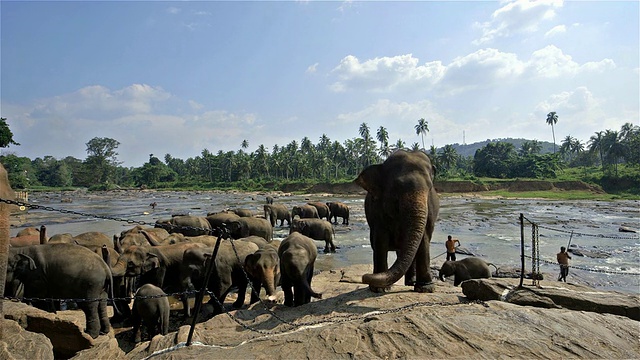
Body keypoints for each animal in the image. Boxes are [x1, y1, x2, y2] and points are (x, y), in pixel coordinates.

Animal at [356, 149, 440, 292]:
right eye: (396, 188)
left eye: (430, 188)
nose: (364, 277)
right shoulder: (376, 209)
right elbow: (380, 240)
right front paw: (379, 289)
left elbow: (423, 239)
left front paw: (425, 288)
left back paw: (411, 283)